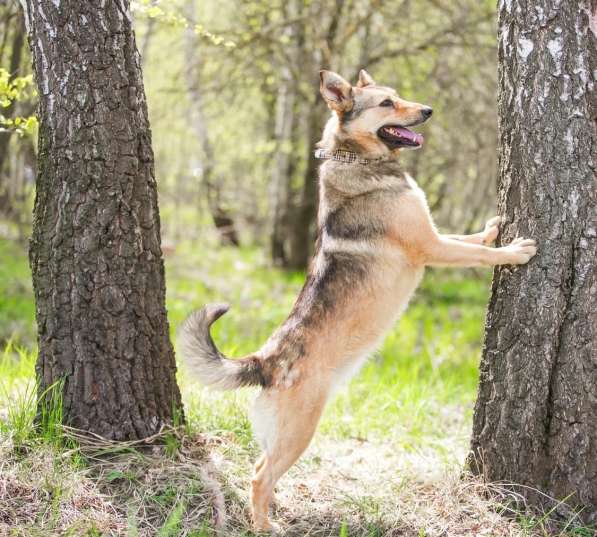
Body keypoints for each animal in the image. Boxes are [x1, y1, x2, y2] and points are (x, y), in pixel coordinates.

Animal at [177, 68, 536, 532]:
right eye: (386, 103)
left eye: (399, 95)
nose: (428, 110)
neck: (357, 158)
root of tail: (265, 360)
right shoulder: (431, 247)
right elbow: (476, 253)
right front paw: (513, 251)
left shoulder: (435, 237)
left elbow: (469, 237)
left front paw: (493, 228)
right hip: (300, 430)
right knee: (259, 476)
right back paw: (264, 525)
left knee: (261, 468)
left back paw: (278, 510)